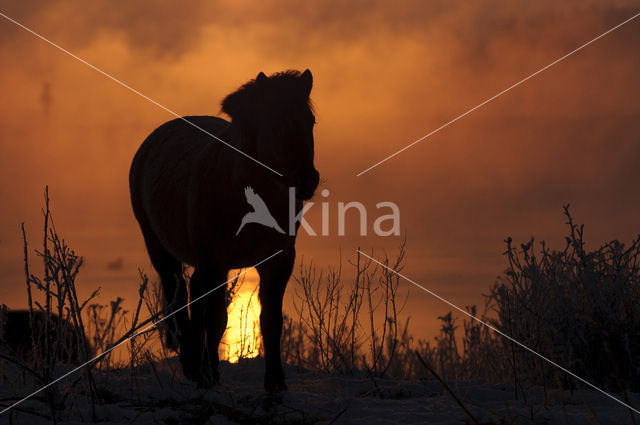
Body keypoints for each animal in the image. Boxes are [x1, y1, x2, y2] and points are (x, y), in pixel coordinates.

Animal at [129, 68, 318, 390]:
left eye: (311, 121)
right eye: (275, 123)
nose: (307, 179)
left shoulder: (278, 261)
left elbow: (271, 321)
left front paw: (275, 382)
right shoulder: (216, 263)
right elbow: (216, 320)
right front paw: (209, 374)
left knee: (193, 291)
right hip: (159, 248)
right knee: (178, 292)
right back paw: (191, 363)